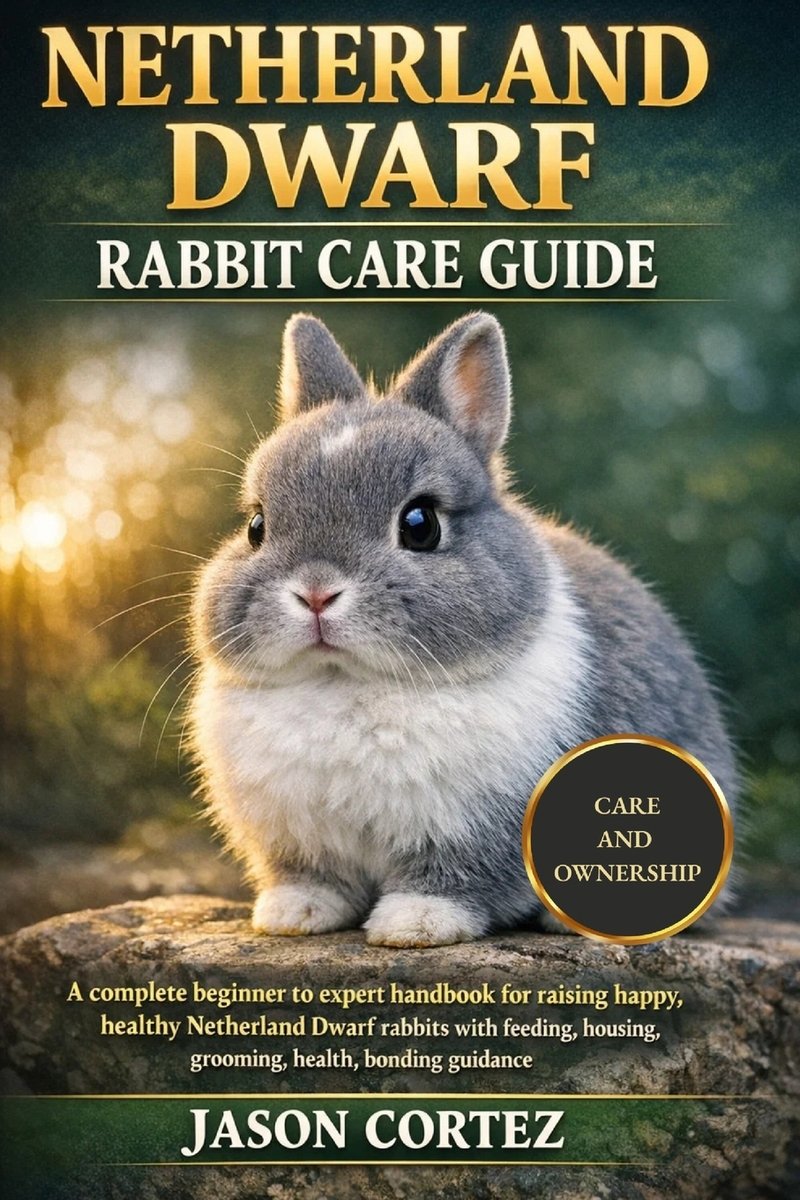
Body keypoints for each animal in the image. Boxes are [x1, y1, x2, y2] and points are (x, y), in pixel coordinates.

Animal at [190, 311, 737, 947]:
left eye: (420, 524)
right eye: (256, 526)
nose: (316, 593)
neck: (345, 681)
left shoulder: (473, 832)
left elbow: (450, 882)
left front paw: (415, 925)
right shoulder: (299, 841)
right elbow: (313, 879)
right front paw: (291, 916)